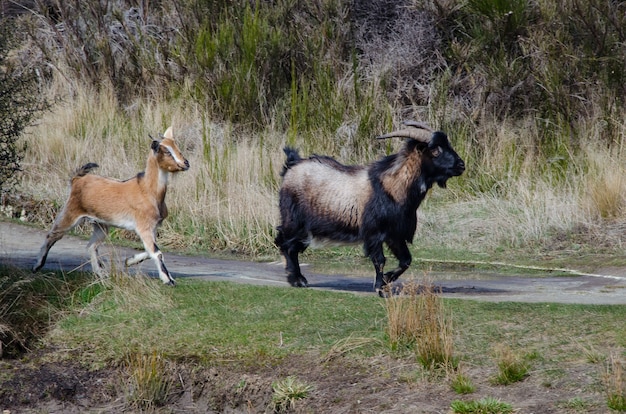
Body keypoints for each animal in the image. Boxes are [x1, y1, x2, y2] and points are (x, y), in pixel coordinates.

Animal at [32, 126, 188, 284]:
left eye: (177, 147)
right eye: (166, 151)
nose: (186, 163)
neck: (148, 190)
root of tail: (77, 179)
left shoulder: (153, 227)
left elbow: (149, 251)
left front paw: (129, 261)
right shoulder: (143, 226)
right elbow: (157, 252)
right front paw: (168, 280)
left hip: (101, 225)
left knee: (91, 246)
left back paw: (101, 274)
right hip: (71, 213)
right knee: (53, 235)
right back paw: (37, 266)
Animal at [272, 121, 464, 296]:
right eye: (435, 150)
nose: (461, 165)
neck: (392, 187)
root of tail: (292, 165)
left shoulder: (395, 234)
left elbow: (406, 260)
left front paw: (387, 279)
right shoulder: (374, 232)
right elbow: (380, 260)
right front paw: (380, 288)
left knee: (291, 246)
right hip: (294, 220)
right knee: (285, 243)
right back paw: (297, 280)